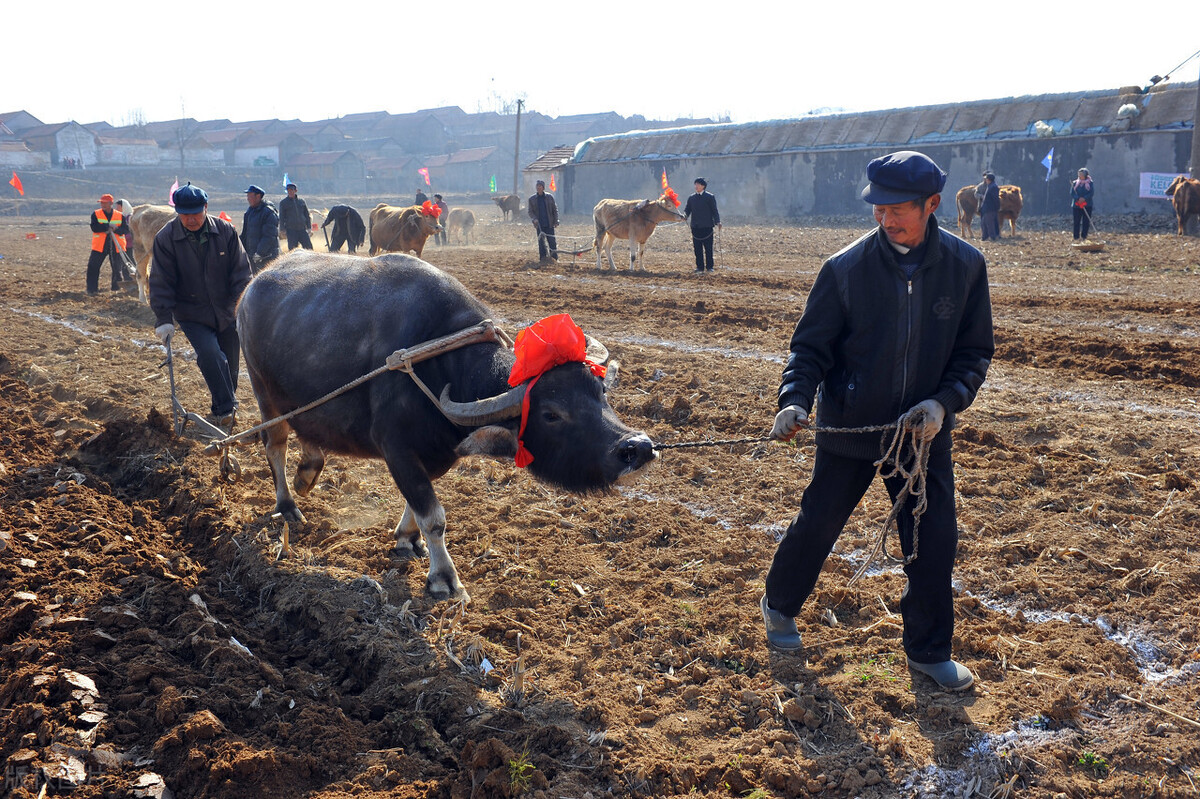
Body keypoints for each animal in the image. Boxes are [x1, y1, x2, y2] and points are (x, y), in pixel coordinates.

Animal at [234, 249, 657, 597]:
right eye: (551, 414)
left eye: (600, 391)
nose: (637, 448)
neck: (438, 366)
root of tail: (253, 285)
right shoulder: (397, 449)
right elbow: (432, 515)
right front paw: (444, 579)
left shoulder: (435, 454)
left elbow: (417, 505)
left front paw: (407, 540)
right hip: (264, 394)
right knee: (275, 445)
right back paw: (288, 504)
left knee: (306, 433)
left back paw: (308, 473)